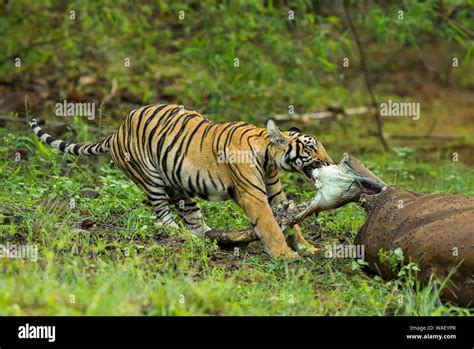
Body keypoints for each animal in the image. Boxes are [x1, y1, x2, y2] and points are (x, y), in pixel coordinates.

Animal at [29, 102, 334, 256]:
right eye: (310, 148)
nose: (330, 162)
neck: (269, 155)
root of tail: (116, 131)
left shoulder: (275, 194)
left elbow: (292, 221)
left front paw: (307, 246)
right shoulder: (254, 196)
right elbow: (271, 226)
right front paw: (286, 256)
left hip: (180, 182)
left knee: (194, 219)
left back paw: (210, 238)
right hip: (150, 179)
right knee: (163, 215)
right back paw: (182, 235)